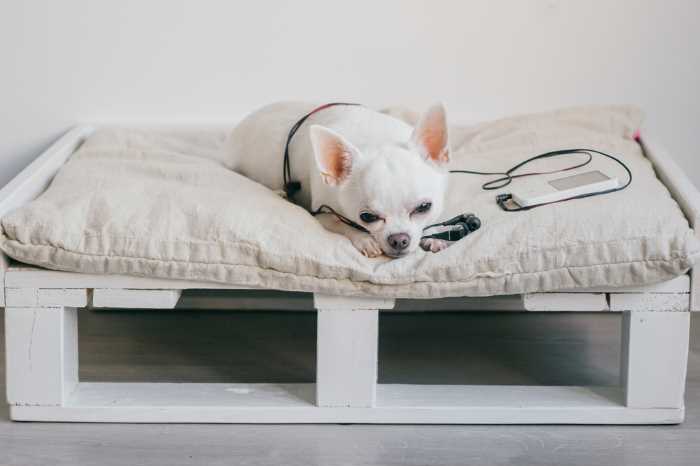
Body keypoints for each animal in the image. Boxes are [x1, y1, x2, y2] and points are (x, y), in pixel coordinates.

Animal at [227, 101, 452, 258]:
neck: (377, 139)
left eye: (424, 207)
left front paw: (435, 233)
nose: (399, 240)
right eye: (367, 217)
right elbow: (340, 223)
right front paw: (364, 239)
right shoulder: (321, 213)